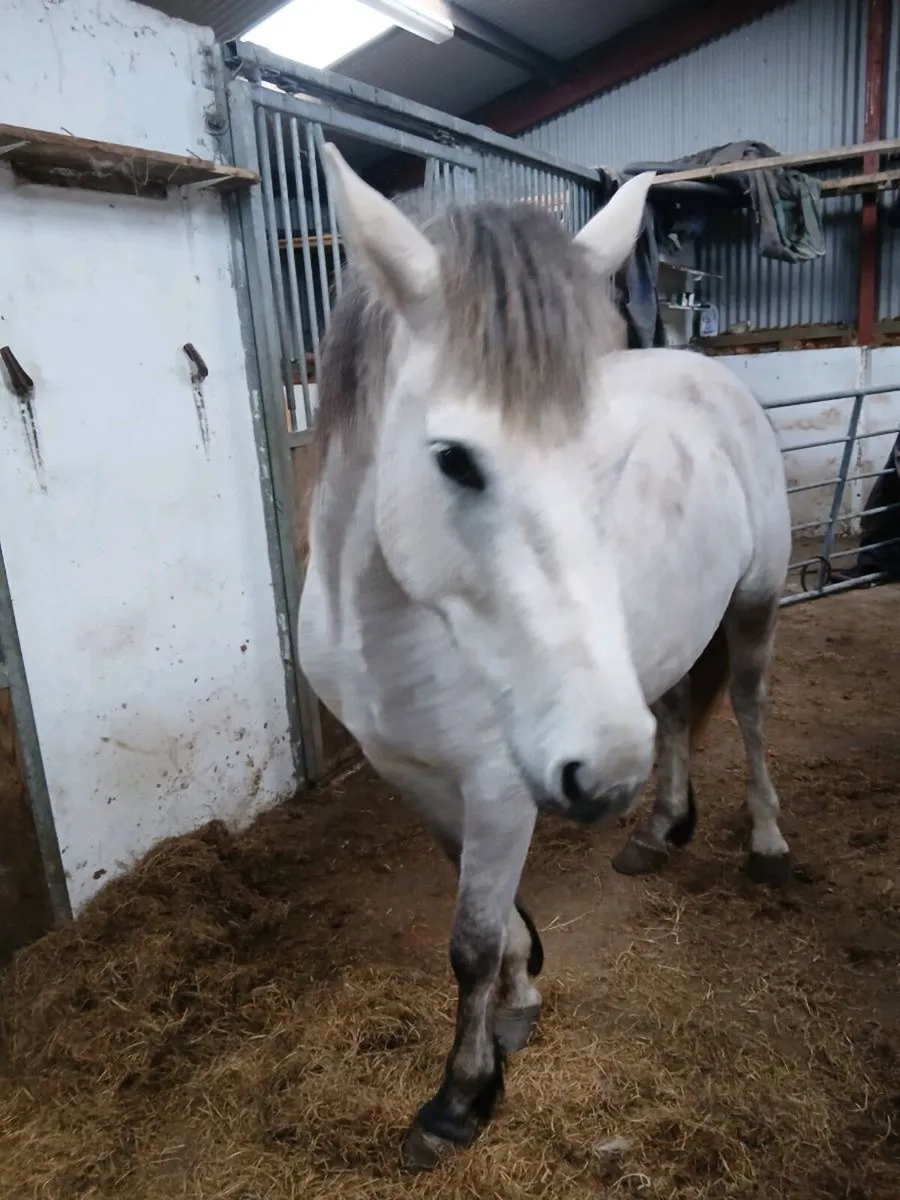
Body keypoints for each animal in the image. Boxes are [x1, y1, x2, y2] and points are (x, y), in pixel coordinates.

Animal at [297, 144, 793, 1171]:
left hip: (754, 605)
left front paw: (461, 1098)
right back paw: (659, 830)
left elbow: (471, 941)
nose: (602, 776)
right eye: (453, 458)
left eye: (610, 461)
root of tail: (709, 373)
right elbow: (484, 913)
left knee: (751, 709)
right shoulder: (415, 776)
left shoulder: (496, 785)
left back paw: (766, 843)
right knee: (676, 716)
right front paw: (520, 999)